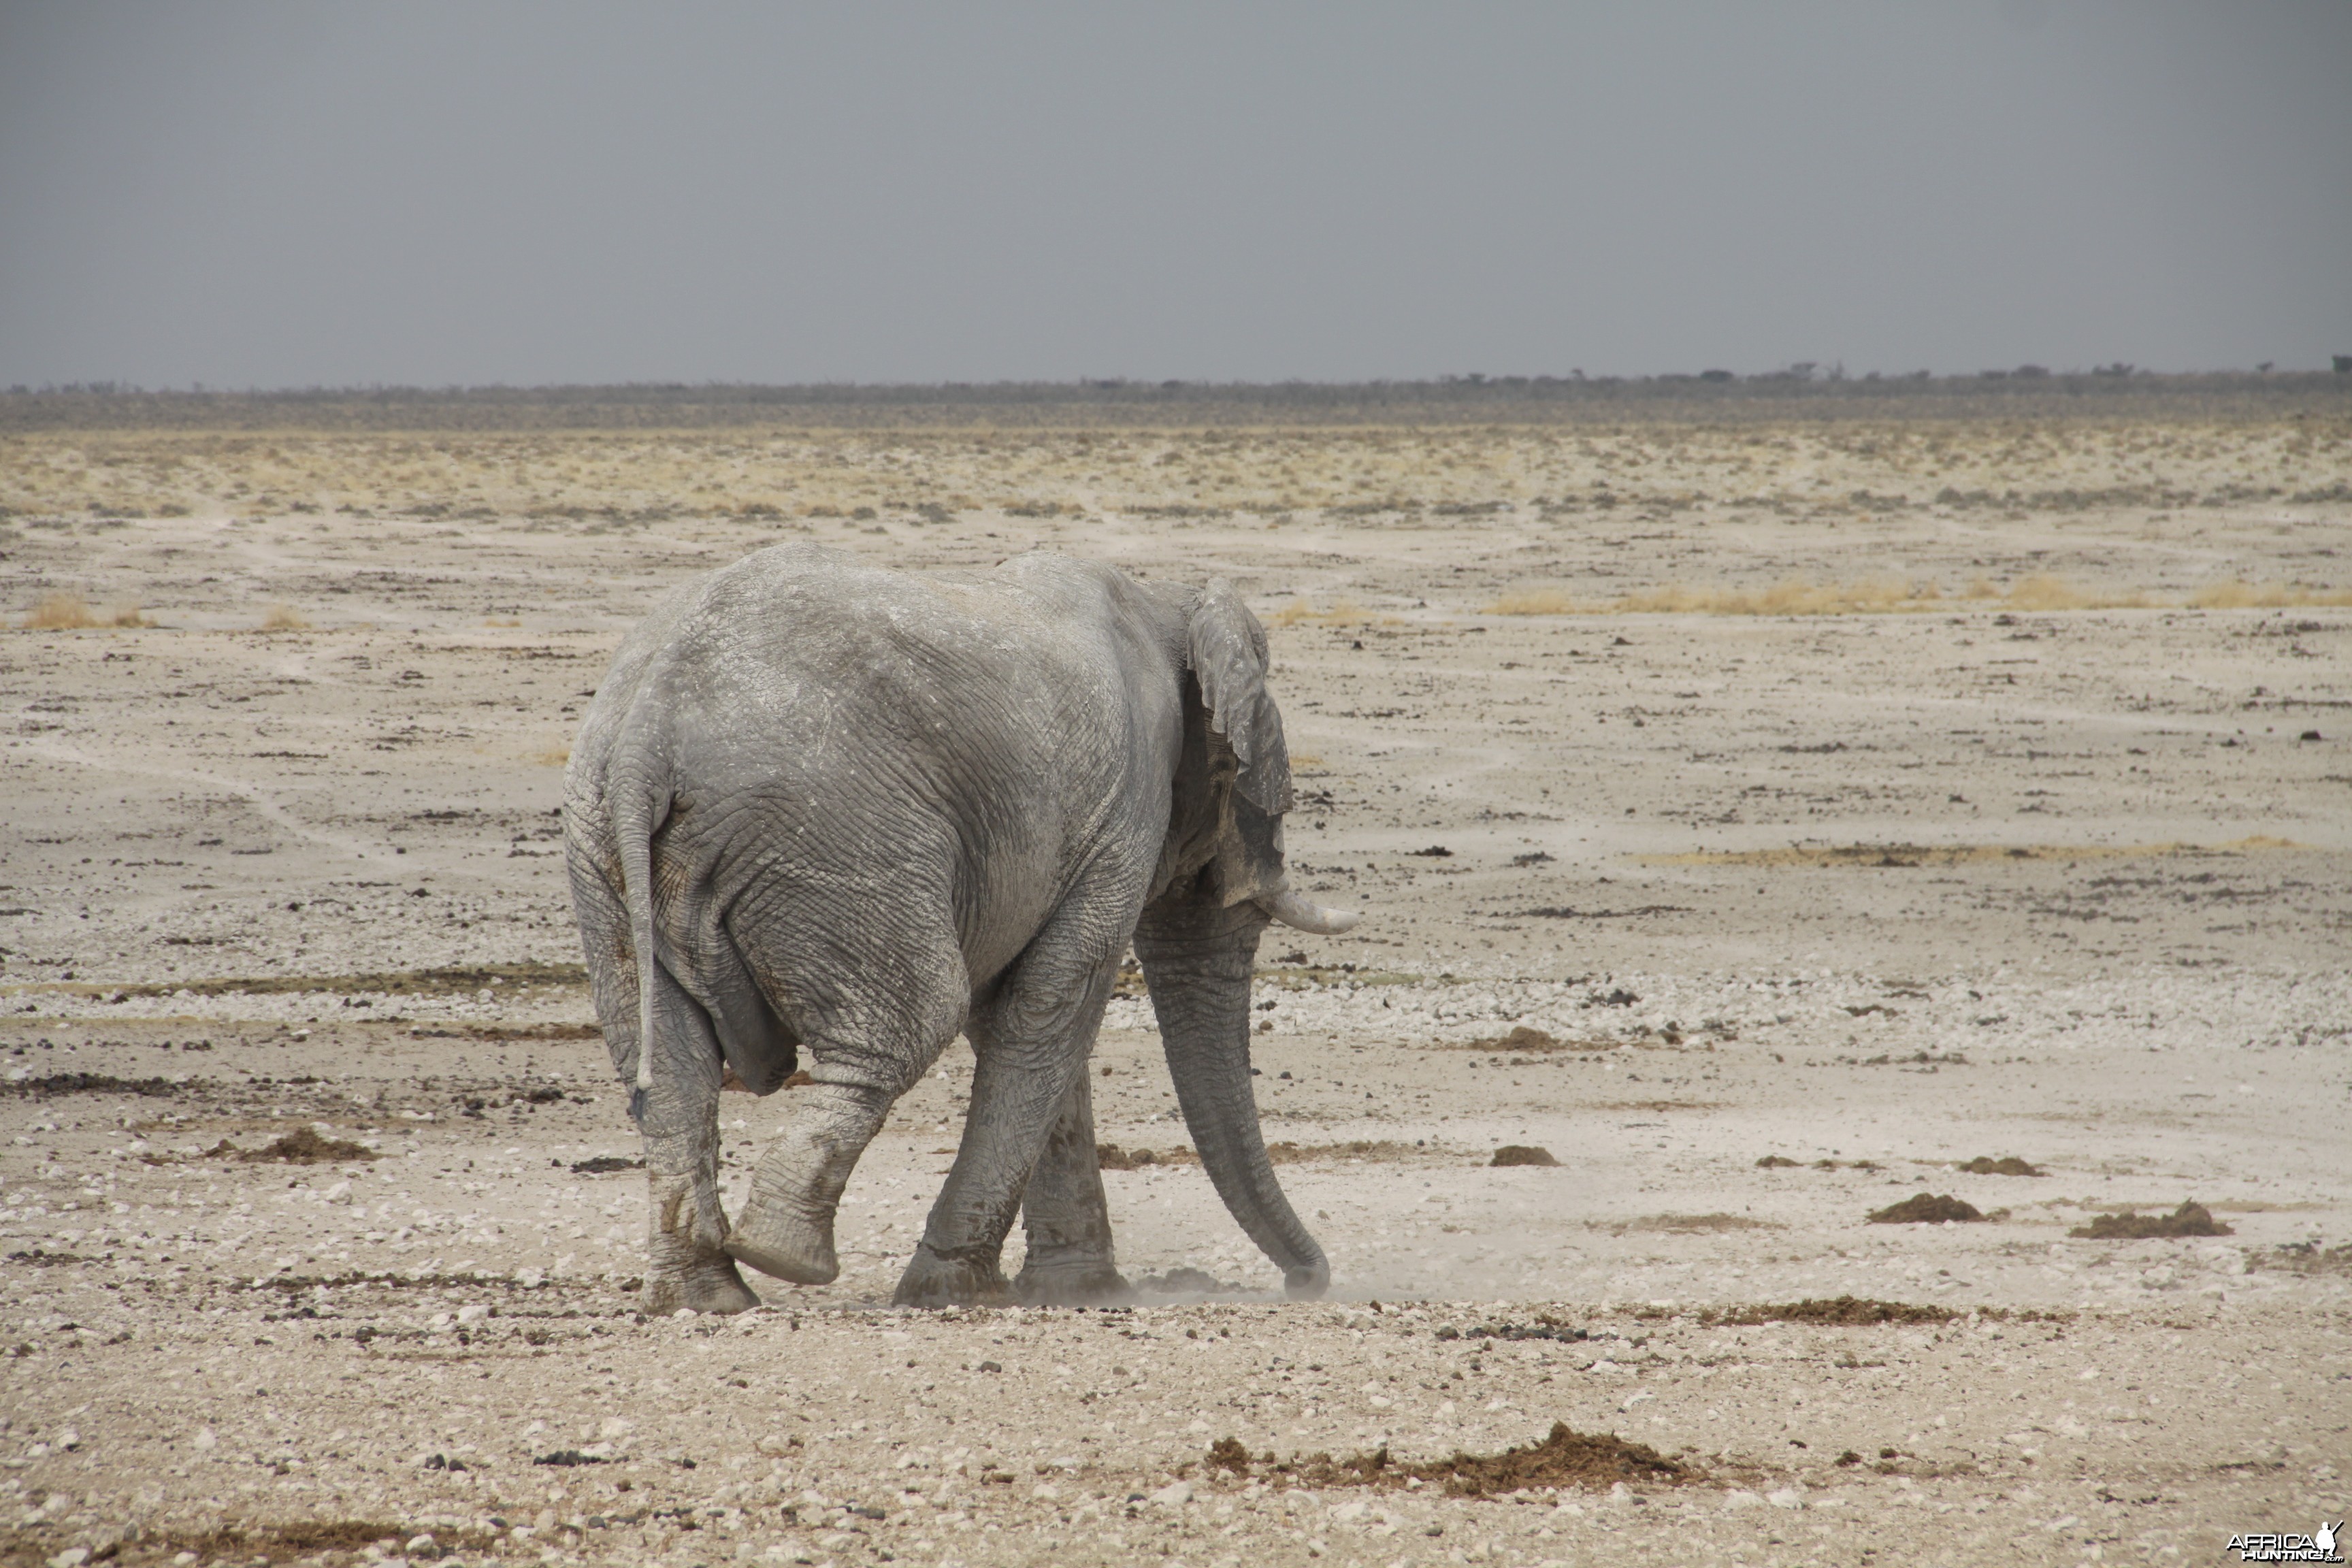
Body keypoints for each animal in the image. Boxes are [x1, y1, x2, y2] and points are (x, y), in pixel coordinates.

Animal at [564, 545, 1364, 1316]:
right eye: (1239, 779)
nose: (1307, 1281)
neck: (1168, 597)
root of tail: (646, 734)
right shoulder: (1123, 812)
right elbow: (1052, 1006)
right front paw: (959, 1289)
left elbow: (1023, 1019)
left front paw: (1080, 1291)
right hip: (837, 837)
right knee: (910, 1021)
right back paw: (784, 1255)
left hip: (602, 845)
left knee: (669, 1065)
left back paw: (708, 1296)